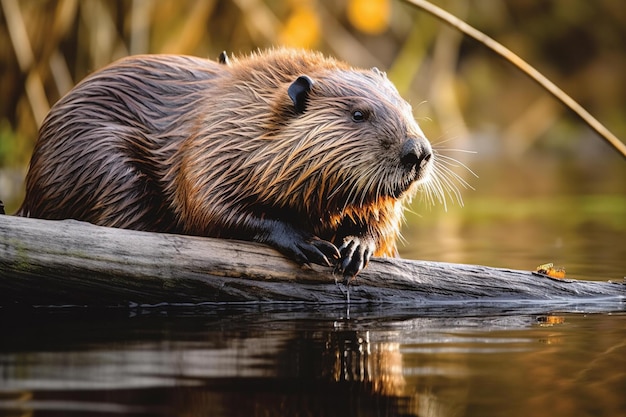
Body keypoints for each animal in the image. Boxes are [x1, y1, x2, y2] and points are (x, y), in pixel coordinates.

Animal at [18, 48, 434, 276]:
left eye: (405, 105)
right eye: (358, 114)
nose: (417, 152)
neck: (245, 110)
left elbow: (383, 220)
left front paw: (356, 247)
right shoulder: (209, 144)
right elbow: (208, 206)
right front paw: (307, 243)